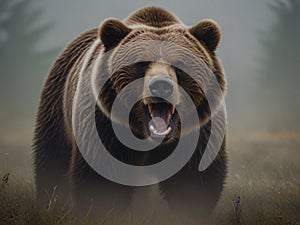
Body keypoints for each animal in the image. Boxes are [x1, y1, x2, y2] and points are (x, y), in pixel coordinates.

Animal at [32, 6, 227, 224]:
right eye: (142, 63)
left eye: (179, 64)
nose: (161, 86)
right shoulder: (104, 126)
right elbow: (102, 178)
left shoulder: (198, 131)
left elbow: (193, 179)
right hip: (57, 107)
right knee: (52, 160)